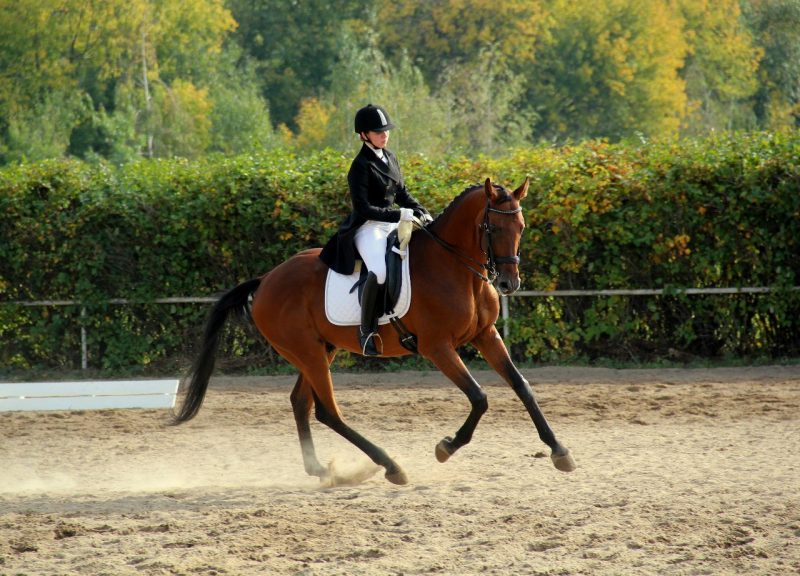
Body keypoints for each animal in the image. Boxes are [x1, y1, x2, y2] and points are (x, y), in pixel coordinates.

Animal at [175, 178, 576, 484]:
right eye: (492, 228)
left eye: (521, 228)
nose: (509, 283)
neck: (456, 268)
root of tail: (266, 280)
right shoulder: (437, 347)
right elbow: (479, 397)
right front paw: (445, 448)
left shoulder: (486, 335)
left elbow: (521, 386)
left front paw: (560, 452)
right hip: (307, 352)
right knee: (328, 412)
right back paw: (390, 466)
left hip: (321, 350)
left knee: (301, 402)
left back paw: (321, 469)